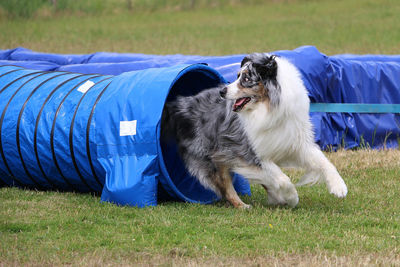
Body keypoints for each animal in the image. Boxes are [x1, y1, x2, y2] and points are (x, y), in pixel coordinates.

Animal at [162, 54, 346, 209]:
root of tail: (182, 104)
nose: (222, 91)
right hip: (210, 154)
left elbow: (324, 162)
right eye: (237, 76)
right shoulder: (250, 153)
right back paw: (242, 205)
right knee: (225, 185)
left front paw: (339, 187)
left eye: (246, 79)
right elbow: (282, 178)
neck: (267, 109)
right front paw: (292, 196)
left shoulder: (295, 143)